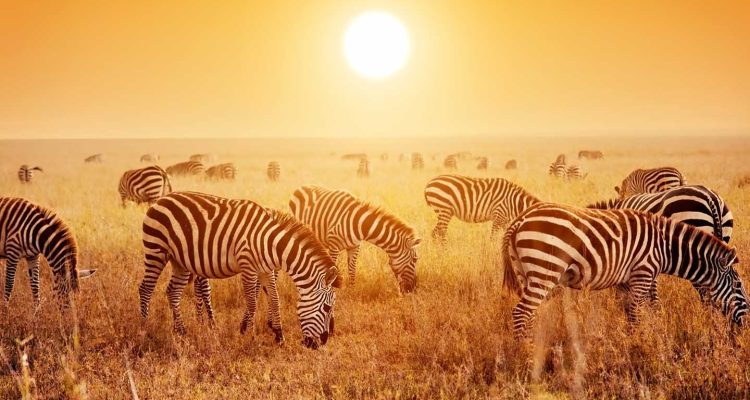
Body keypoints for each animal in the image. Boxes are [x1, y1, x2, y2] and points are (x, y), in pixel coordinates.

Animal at [139, 192, 342, 349]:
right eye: (327, 308)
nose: (320, 344)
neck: (269, 243)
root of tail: (162, 199)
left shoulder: (266, 270)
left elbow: (275, 299)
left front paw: (279, 336)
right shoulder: (248, 267)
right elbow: (252, 302)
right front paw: (249, 336)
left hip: (179, 261)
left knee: (173, 292)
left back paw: (181, 332)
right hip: (156, 250)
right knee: (146, 289)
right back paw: (145, 329)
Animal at [289, 185, 420, 293]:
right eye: (415, 259)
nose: (413, 289)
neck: (359, 224)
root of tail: (300, 187)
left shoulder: (354, 246)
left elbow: (352, 270)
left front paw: (352, 290)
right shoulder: (334, 246)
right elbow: (333, 268)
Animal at [502, 203, 748, 338]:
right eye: (738, 286)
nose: (745, 325)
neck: (664, 247)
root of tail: (521, 218)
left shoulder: (625, 279)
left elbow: (631, 310)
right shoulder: (644, 272)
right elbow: (636, 313)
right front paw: (638, 346)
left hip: (526, 273)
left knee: (529, 314)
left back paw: (532, 347)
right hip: (545, 269)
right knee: (521, 312)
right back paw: (524, 355)